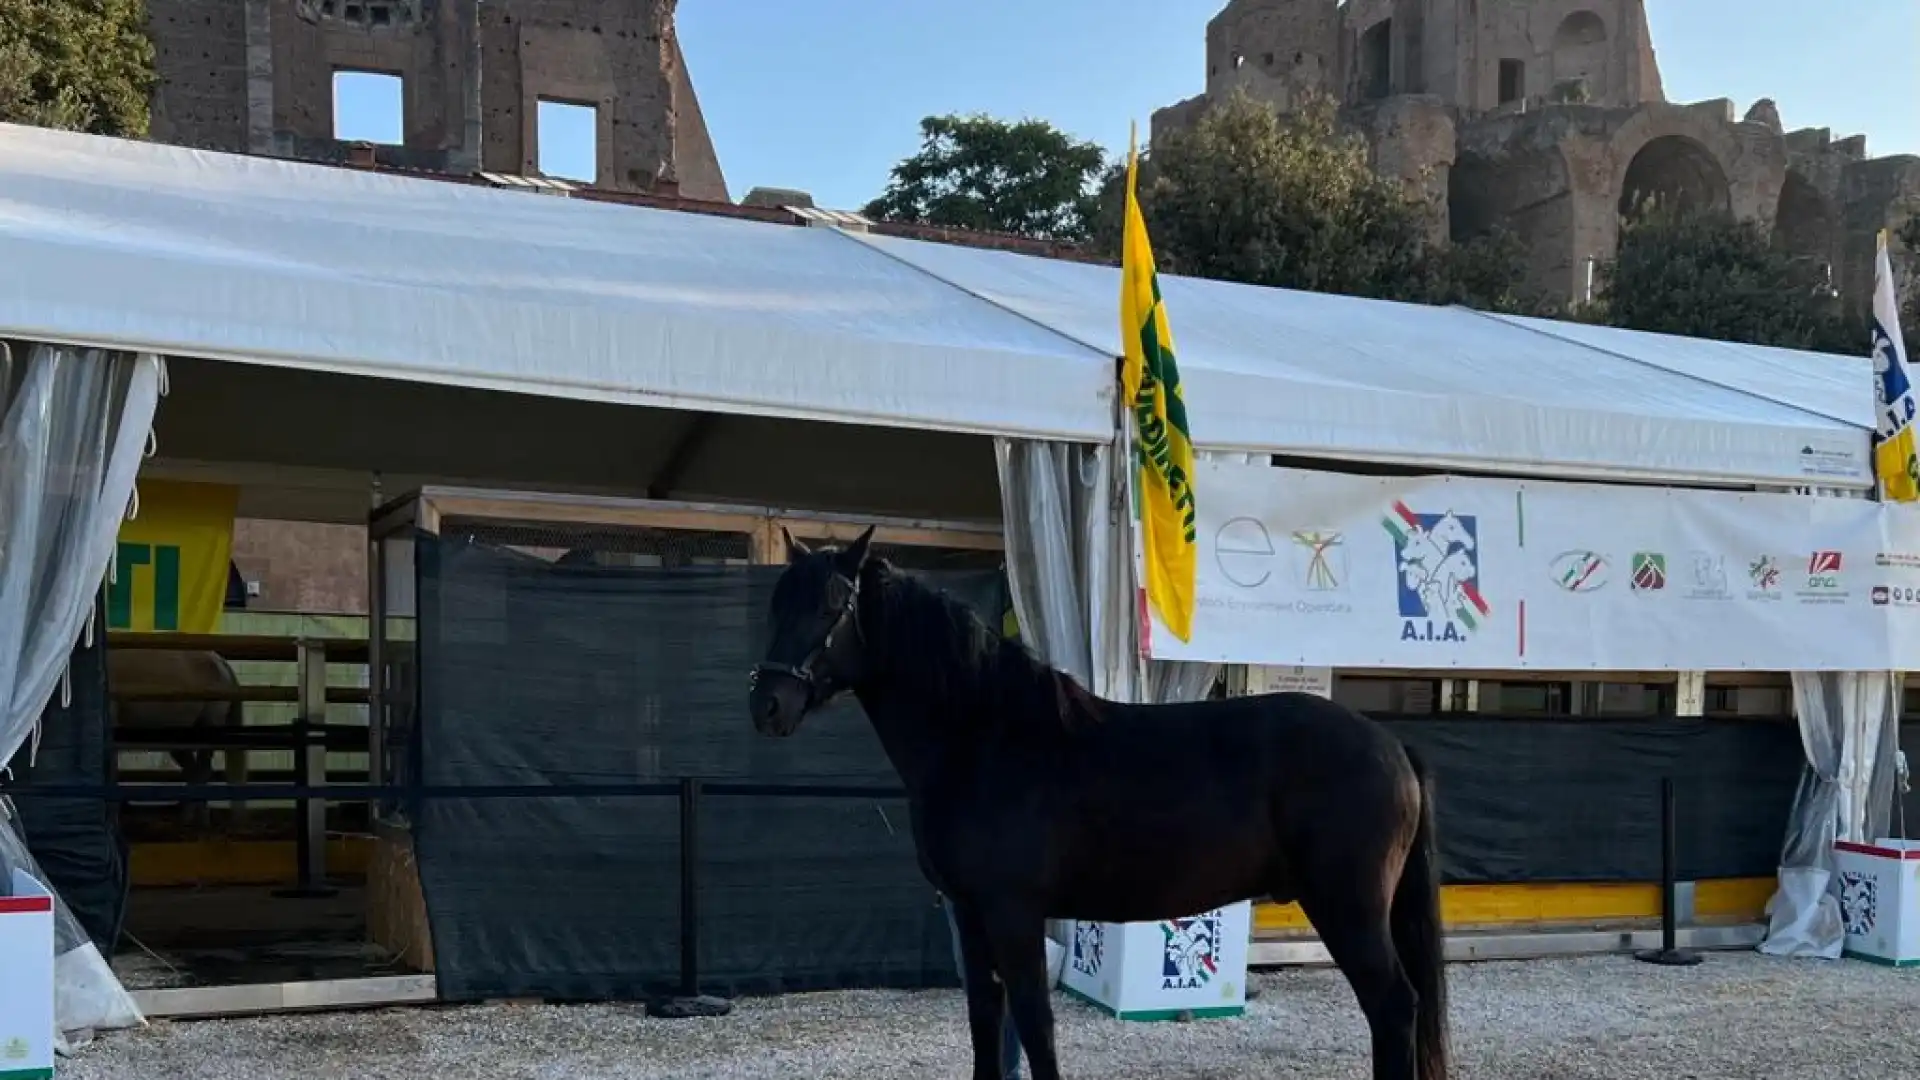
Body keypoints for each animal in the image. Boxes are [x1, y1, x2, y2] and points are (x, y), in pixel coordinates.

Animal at [744, 526, 1443, 1068]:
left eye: (832, 605)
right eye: (778, 604)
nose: (767, 705)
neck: (985, 736)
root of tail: (1390, 745)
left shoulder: (1014, 915)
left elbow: (1036, 1030)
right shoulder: (971, 917)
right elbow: (986, 1027)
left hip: (1348, 909)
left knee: (1393, 1007)